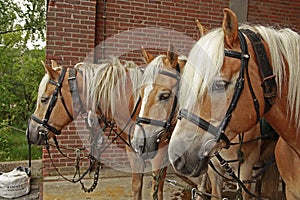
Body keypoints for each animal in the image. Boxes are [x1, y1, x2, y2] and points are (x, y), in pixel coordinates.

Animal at [24, 58, 168, 199]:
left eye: (44, 99)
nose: (30, 132)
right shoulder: (133, 151)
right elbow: (137, 186)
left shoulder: (160, 153)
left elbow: (158, 190)